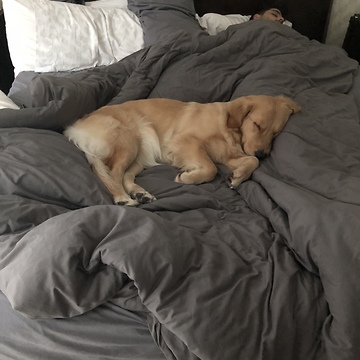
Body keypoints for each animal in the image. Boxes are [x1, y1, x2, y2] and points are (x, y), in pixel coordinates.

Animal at [64, 95, 300, 205]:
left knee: (124, 175)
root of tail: (76, 127)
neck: (229, 128)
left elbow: (250, 162)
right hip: (131, 140)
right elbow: (210, 167)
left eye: (276, 133)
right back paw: (122, 197)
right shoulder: (184, 141)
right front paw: (188, 177)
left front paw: (238, 176)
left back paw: (140, 194)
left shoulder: (228, 154)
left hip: (140, 153)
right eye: (257, 125)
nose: (263, 153)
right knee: (110, 173)